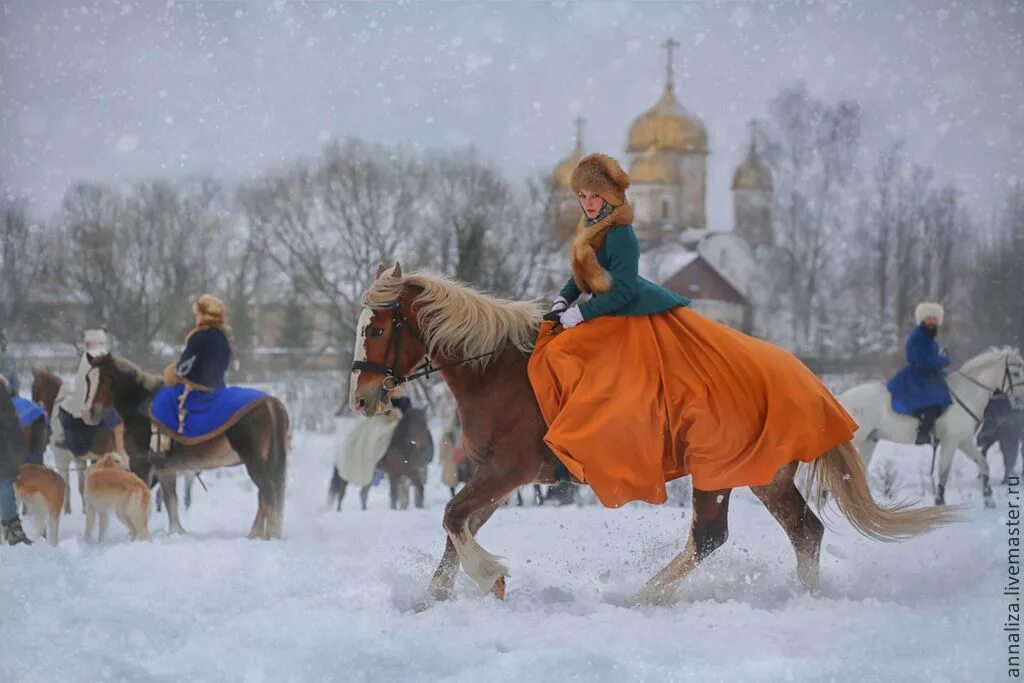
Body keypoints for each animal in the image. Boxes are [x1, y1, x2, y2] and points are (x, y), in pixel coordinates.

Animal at [81, 358, 290, 540]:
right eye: (87, 380)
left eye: (105, 379)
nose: (89, 413)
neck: (139, 406)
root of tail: (270, 402)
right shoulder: (165, 469)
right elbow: (170, 500)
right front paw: (177, 532)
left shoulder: (140, 462)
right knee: (265, 495)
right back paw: (257, 533)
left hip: (254, 461)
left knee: (267, 492)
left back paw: (270, 534)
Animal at [352, 266, 958, 602]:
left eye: (377, 329)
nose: (362, 399)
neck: (498, 369)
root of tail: (812, 384)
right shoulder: (495, 476)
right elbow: (459, 524)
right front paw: (435, 595)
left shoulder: (509, 471)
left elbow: (453, 516)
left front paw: (490, 578)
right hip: (761, 476)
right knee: (800, 532)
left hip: (723, 473)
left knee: (718, 536)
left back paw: (643, 598)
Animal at [839, 348, 1024, 507]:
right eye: (1016, 373)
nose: (1019, 400)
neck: (966, 394)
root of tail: (842, 398)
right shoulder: (951, 441)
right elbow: (944, 472)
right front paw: (940, 502)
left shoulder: (964, 441)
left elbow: (984, 465)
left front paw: (988, 499)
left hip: (869, 441)